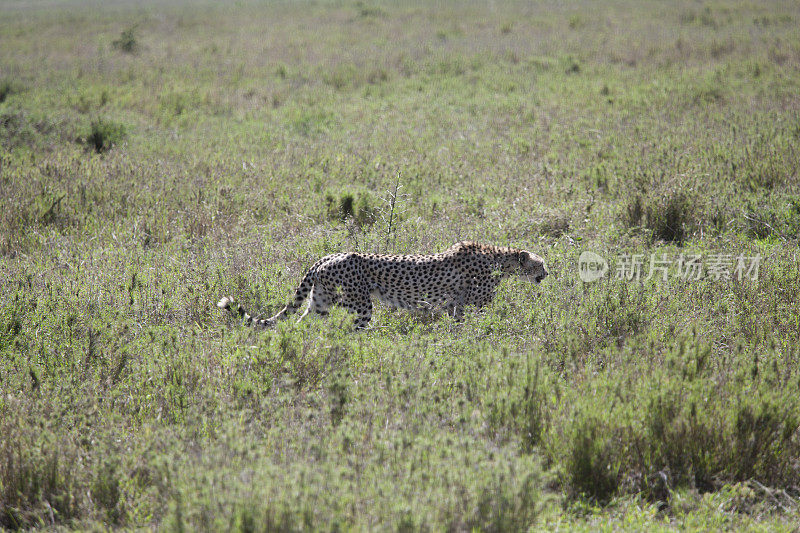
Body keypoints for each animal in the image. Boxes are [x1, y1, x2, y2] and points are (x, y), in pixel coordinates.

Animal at [216, 240, 548, 328]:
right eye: (541, 263)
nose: (547, 274)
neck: (499, 259)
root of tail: (328, 255)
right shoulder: (472, 307)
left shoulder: (456, 307)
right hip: (360, 304)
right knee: (353, 329)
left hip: (319, 303)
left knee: (302, 325)